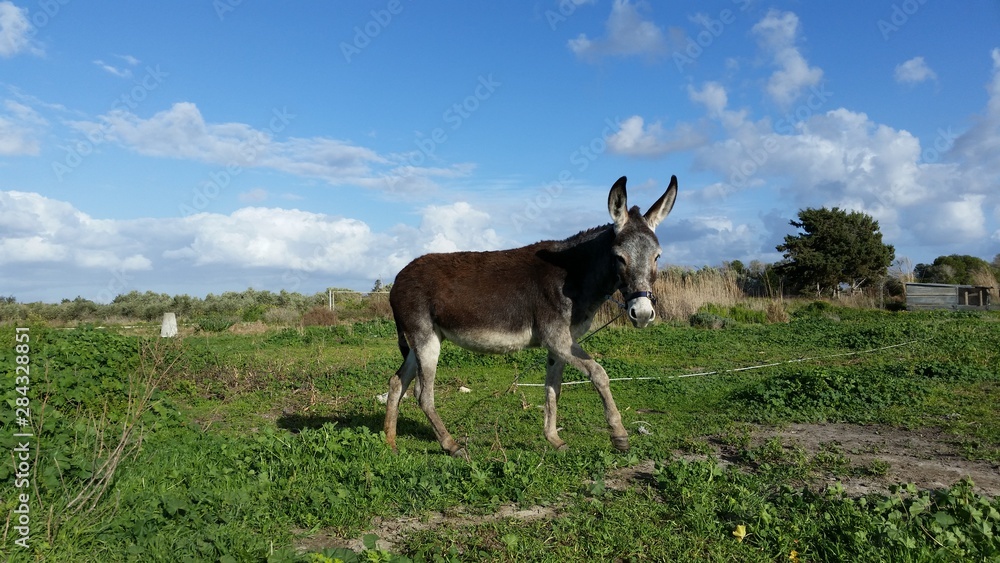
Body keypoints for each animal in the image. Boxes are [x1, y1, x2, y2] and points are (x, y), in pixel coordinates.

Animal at [384, 175, 678, 458]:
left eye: (657, 257)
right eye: (619, 257)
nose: (642, 313)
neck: (572, 275)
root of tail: (398, 278)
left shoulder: (560, 344)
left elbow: (553, 388)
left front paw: (554, 440)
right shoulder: (557, 338)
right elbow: (599, 373)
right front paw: (619, 436)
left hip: (425, 338)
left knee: (397, 381)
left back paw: (390, 442)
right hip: (425, 338)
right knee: (423, 394)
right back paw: (451, 445)